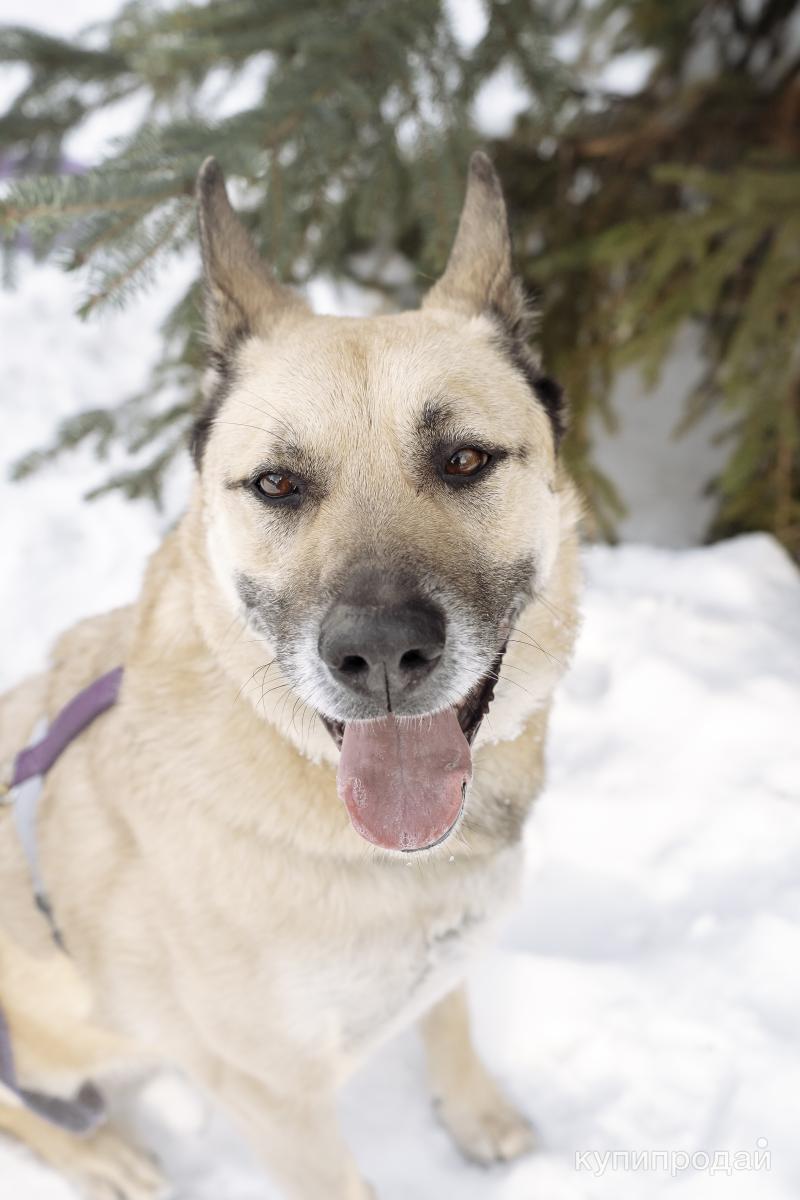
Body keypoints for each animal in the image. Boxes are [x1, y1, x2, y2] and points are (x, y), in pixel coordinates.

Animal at [0, 152, 582, 1200]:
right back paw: (105, 1154)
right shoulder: (276, 1097)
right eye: (277, 483)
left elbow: (449, 1012)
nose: (381, 654)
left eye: (465, 459)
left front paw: (473, 1112)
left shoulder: (443, 962)